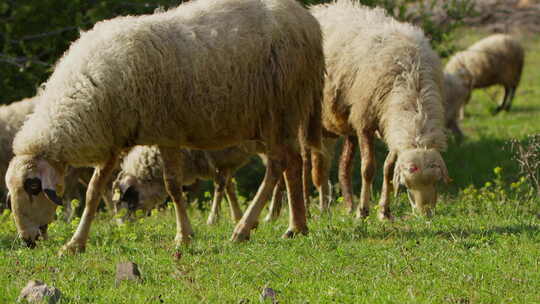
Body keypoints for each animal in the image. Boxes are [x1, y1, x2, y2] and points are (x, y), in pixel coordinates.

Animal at [4, 0, 322, 254]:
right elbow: (94, 192)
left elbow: (173, 186)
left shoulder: (167, 132)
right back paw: (297, 227)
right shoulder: (115, 138)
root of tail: (306, 20)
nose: (27, 240)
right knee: (292, 163)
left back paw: (244, 228)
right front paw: (75, 244)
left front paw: (184, 237)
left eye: (33, 187)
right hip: (280, 117)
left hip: (278, 109)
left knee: (277, 165)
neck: (88, 89)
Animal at [310, 0, 450, 220]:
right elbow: (368, 169)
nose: (425, 214)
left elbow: (388, 169)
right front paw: (363, 212)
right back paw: (317, 208)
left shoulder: (389, 124)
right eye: (407, 184)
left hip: (343, 124)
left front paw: (384, 211)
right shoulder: (365, 122)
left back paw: (346, 206)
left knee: (340, 166)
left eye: (436, 181)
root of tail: (321, 8)